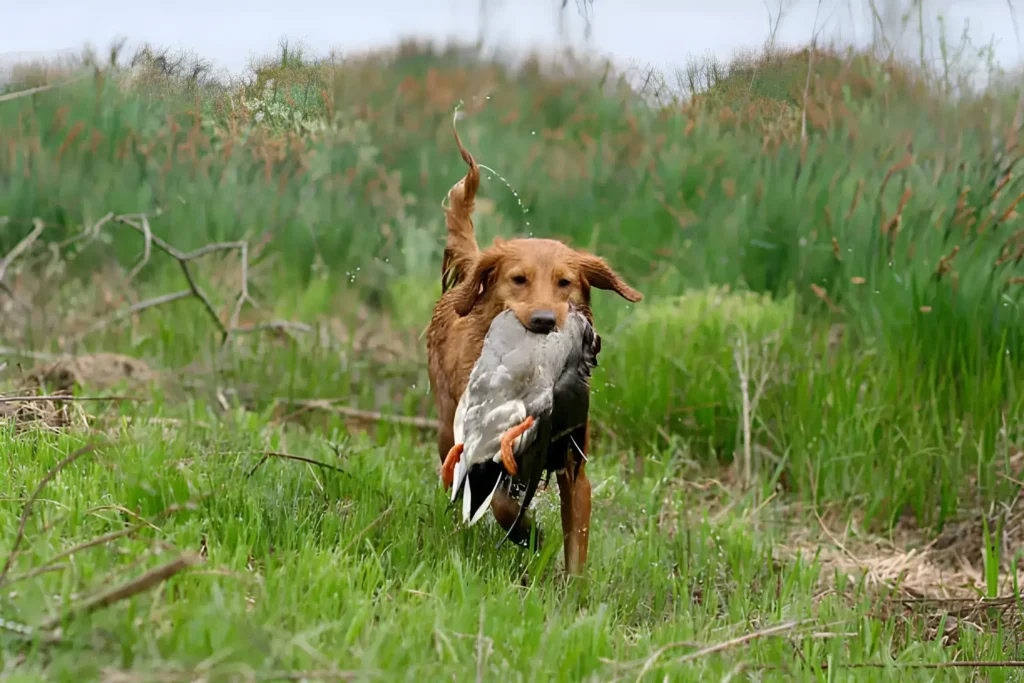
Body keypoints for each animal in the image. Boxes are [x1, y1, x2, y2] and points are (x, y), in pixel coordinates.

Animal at [423, 129, 638, 577]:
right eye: (519, 279)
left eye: (565, 282)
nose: (543, 320)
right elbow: (503, 503)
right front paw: (527, 534)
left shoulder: (575, 467)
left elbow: (576, 546)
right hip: (446, 426)